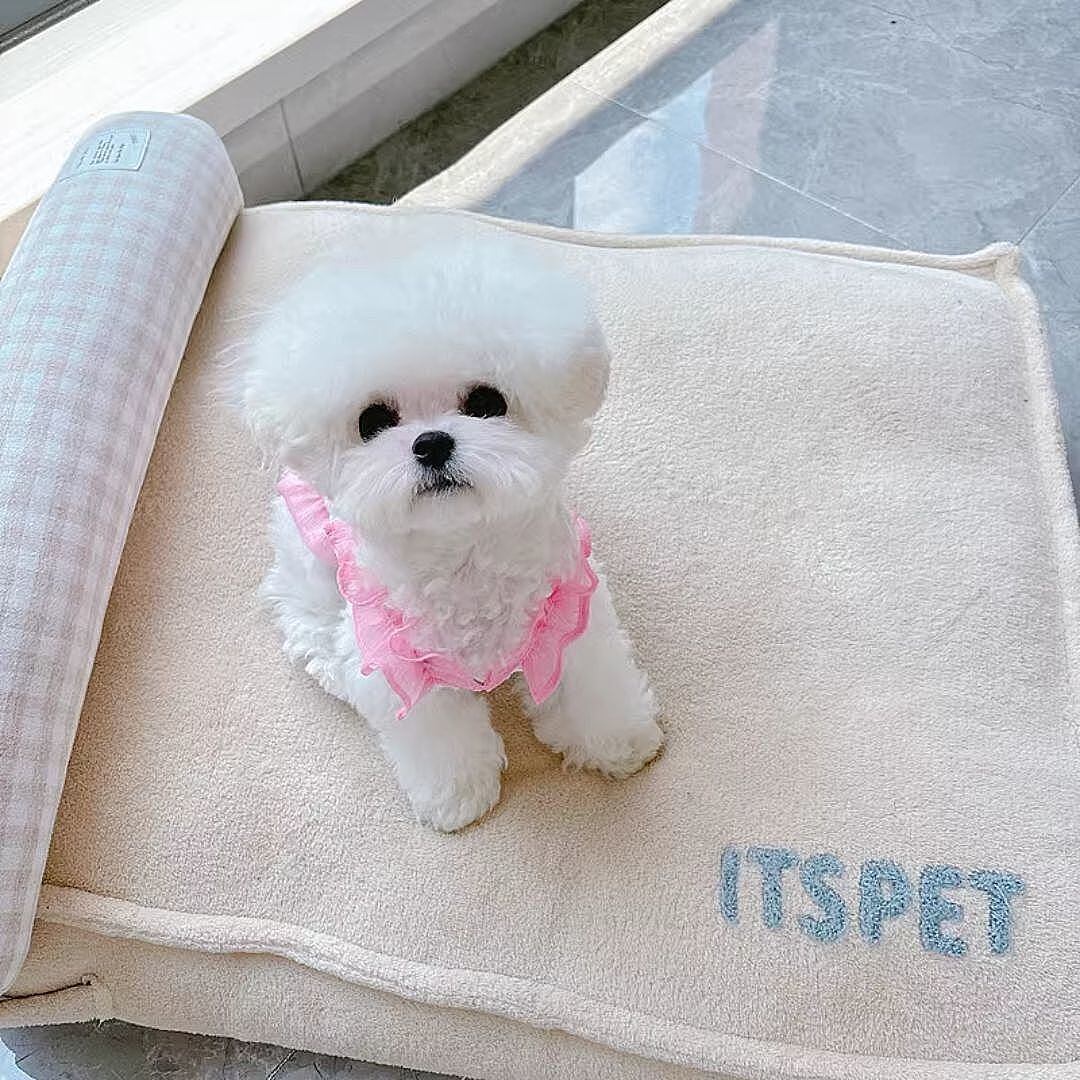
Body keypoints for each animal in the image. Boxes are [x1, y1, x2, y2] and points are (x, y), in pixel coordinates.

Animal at [236, 217, 661, 830]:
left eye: (486, 401)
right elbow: (438, 733)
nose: (431, 442)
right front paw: (457, 795)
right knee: (307, 614)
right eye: (373, 420)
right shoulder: (401, 662)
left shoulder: (571, 614)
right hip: (309, 561)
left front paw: (617, 740)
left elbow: (590, 682)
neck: (464, 553)